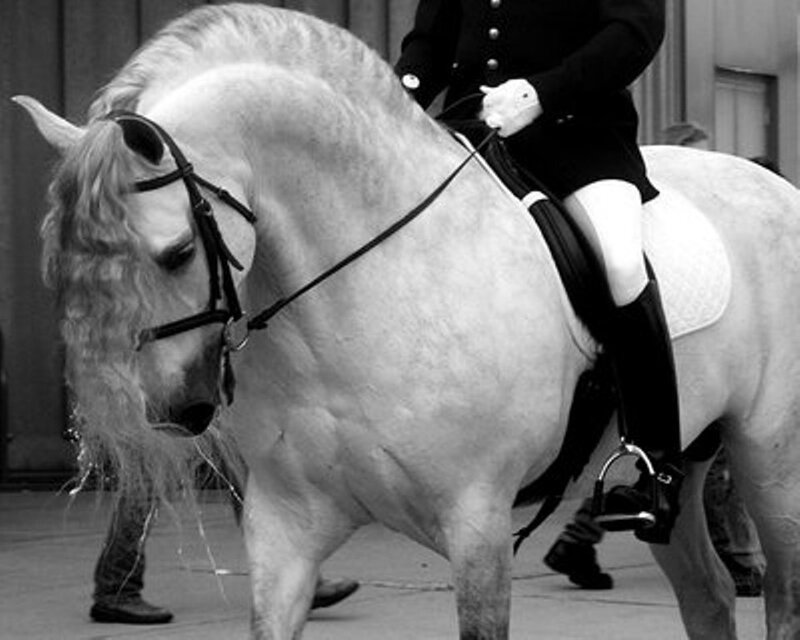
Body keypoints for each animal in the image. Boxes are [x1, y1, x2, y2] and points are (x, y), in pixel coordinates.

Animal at [13, 4, 800, 639]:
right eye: (67, 267)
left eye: (176, 252)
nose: (173, 411)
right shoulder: (283, 526)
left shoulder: (479, 528)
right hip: (686, 462)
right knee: (710, 599)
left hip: (772, 465)